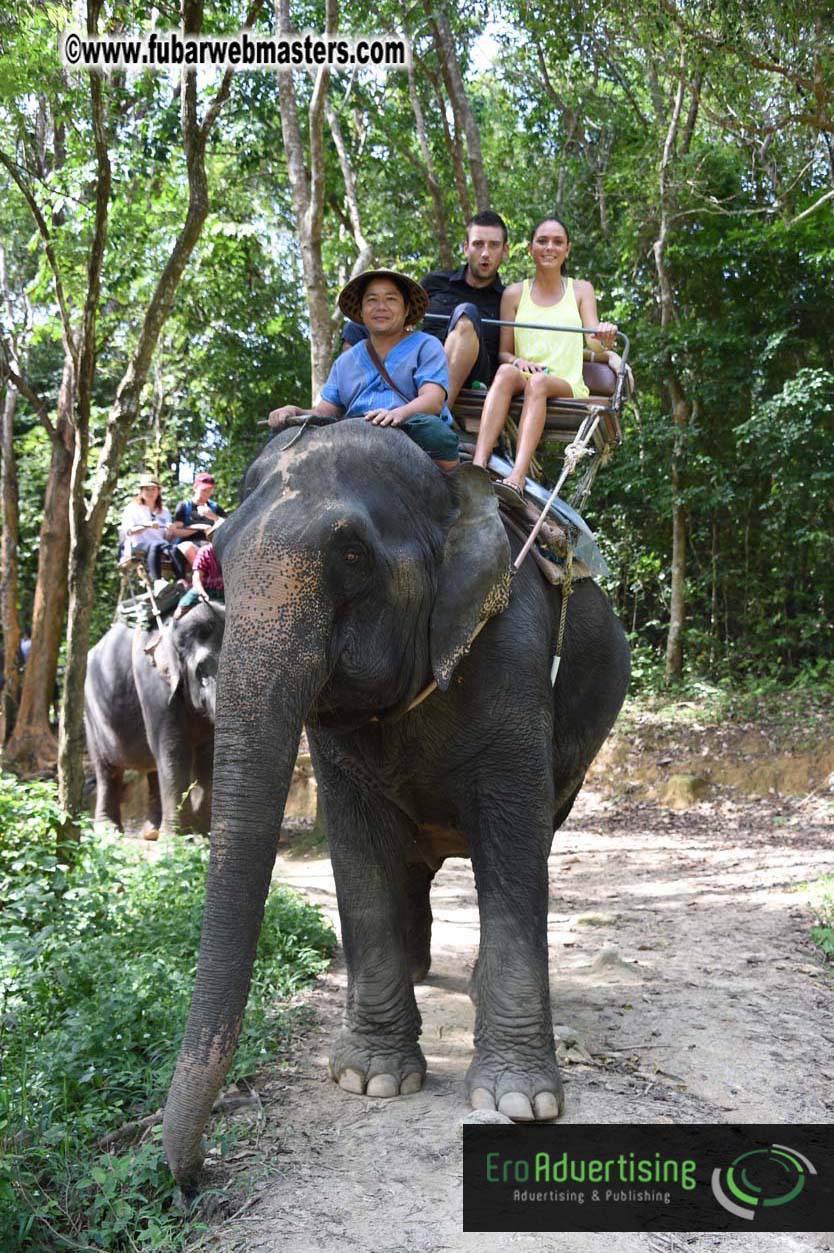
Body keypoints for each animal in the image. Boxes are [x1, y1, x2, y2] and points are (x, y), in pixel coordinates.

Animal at [84, 601, 225, 836]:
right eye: (202, 671)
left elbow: (207, 752)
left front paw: (203, 833)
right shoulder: (153, 682)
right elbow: (174, 748)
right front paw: (180, 837)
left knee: (152, 766)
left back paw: (151, 832)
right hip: (90, 712)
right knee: (107, 770)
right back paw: (109, 830)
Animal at [162, 420, 629, 1185]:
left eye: (352, 554)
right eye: (220, 556)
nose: (194, 1175)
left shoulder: (514, 653)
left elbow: (514, 840)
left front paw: (519, 1100)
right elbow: (356, 850)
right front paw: (372, 1079)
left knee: (540, 832)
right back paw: (414, 971)